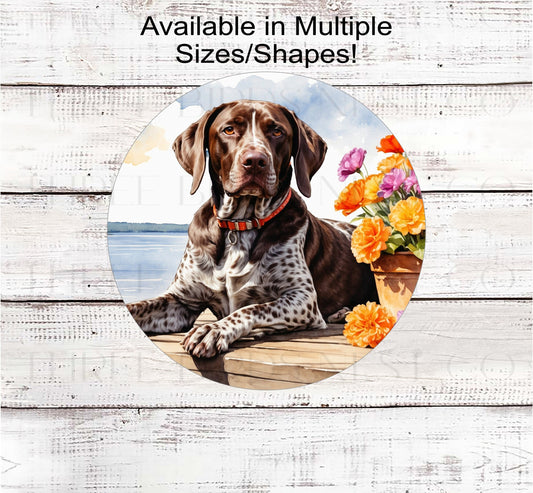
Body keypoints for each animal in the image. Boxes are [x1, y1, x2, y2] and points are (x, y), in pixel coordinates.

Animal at [125, 100, 374, 356]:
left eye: (277, 131)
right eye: (229, 130)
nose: (255, 161)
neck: (239, 225)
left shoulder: (302, 299)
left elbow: (251, 309)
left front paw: (213, 329)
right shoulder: (181, 299)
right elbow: (138, 307)